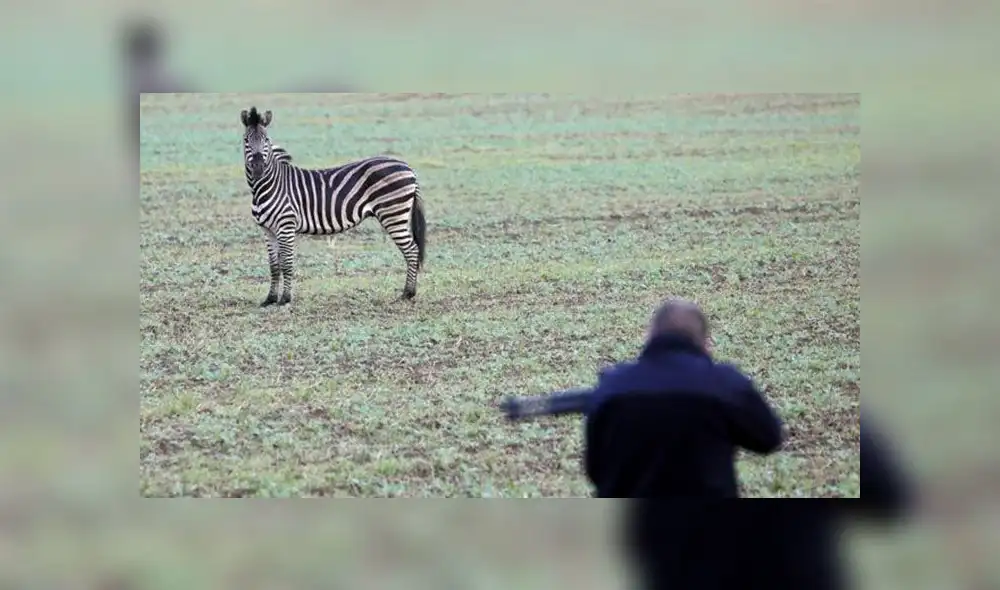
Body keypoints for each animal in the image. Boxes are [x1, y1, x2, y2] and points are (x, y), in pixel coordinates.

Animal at [240, 106, 427, 306]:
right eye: (246, 140)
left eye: (266, 140)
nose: (258, 168)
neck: (268, 185)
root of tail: (407, 167)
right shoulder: (268, 230)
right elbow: (274, 266)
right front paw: (270, 298)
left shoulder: (286, 226)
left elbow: (287, 264)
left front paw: (285, 299)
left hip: (394, 213)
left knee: (412, 250)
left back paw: (408, 293)